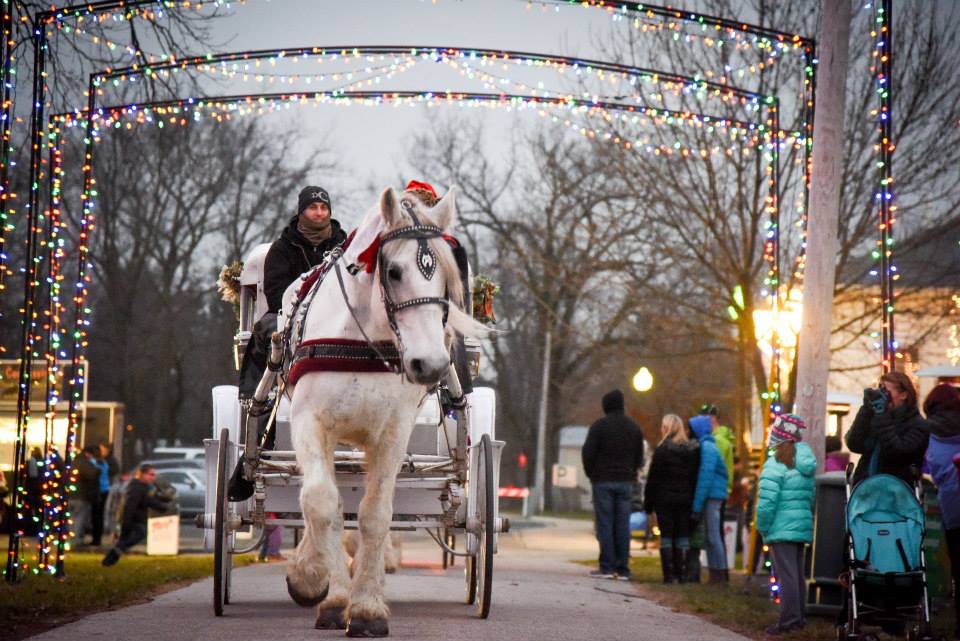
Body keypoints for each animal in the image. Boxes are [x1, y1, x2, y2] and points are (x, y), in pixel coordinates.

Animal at [284, 185, 480, 636]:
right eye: (393, 271)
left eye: (447, 276)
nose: (431, 364)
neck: (362, 339)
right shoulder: (309, 422)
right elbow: (321, 503)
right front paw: (330, 593)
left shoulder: (392, 431)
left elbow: (374, 515)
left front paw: (367, 607)